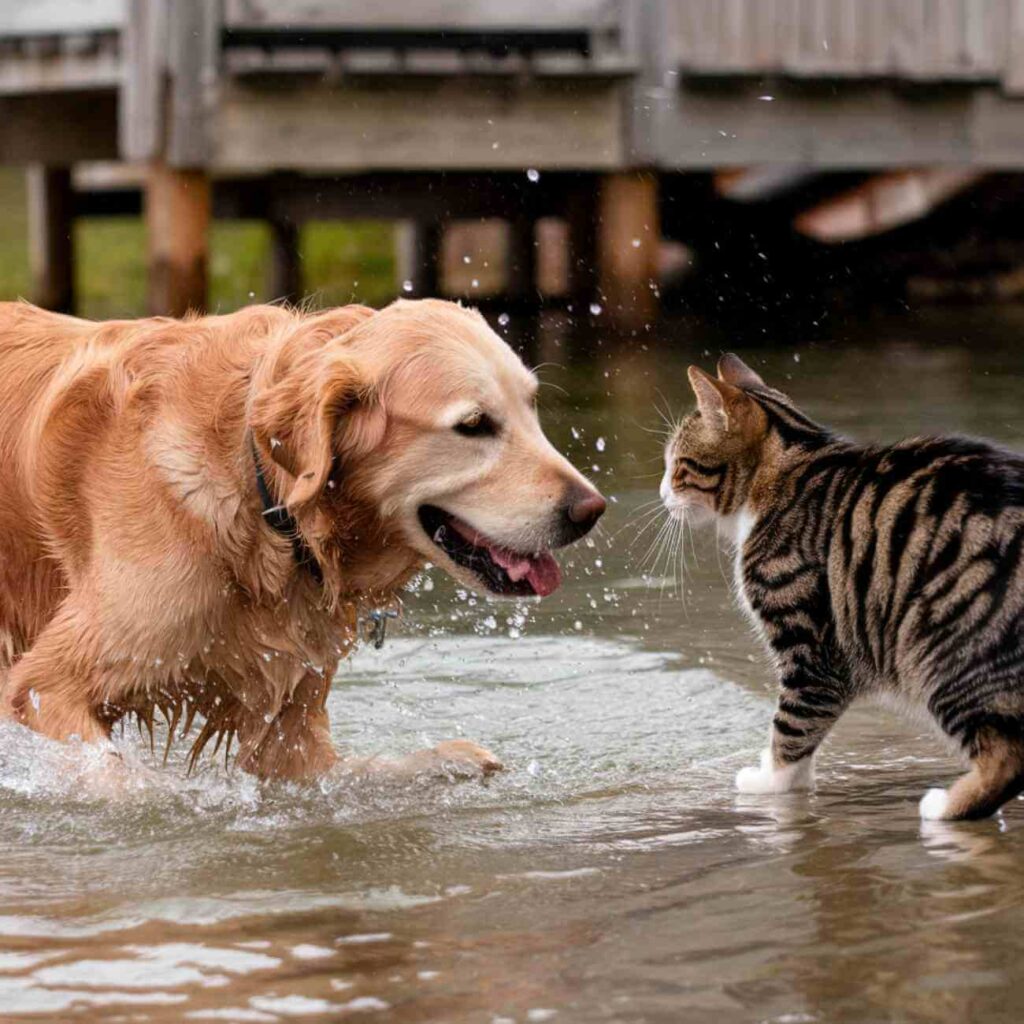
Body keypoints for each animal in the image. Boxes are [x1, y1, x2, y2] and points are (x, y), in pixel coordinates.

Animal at [0, 296, 598, 782]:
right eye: (474, 425)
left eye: (531, 406)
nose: (590, 511)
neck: (266, 499)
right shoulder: (44, 686)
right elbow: (124, 782)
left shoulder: (290, 717)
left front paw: (455, 761)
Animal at [659, 356, 1024, 819]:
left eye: (678, 464)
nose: (661, 492)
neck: (788, 469)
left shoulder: (812, 654)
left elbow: (792, 726)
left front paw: (770, 783)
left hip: (940, 651)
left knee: (1007, 759)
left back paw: (944, 806)